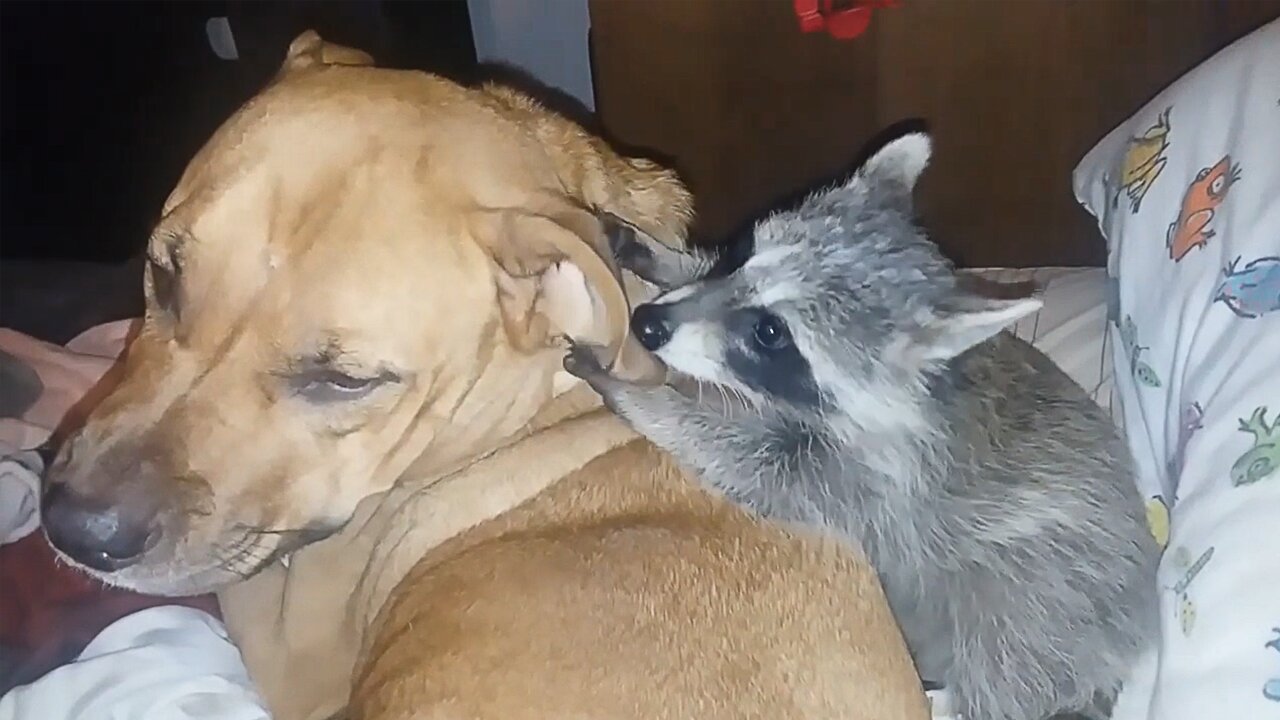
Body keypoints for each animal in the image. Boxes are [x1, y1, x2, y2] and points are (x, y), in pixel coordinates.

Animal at [568, 133, 1162, 712]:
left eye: (769, 333)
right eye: (741, 254)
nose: (647, 323)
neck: (911, 390)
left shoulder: (880, 483)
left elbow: (755, 467)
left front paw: (639, 397)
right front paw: (659, 255)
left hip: (1039, 603)